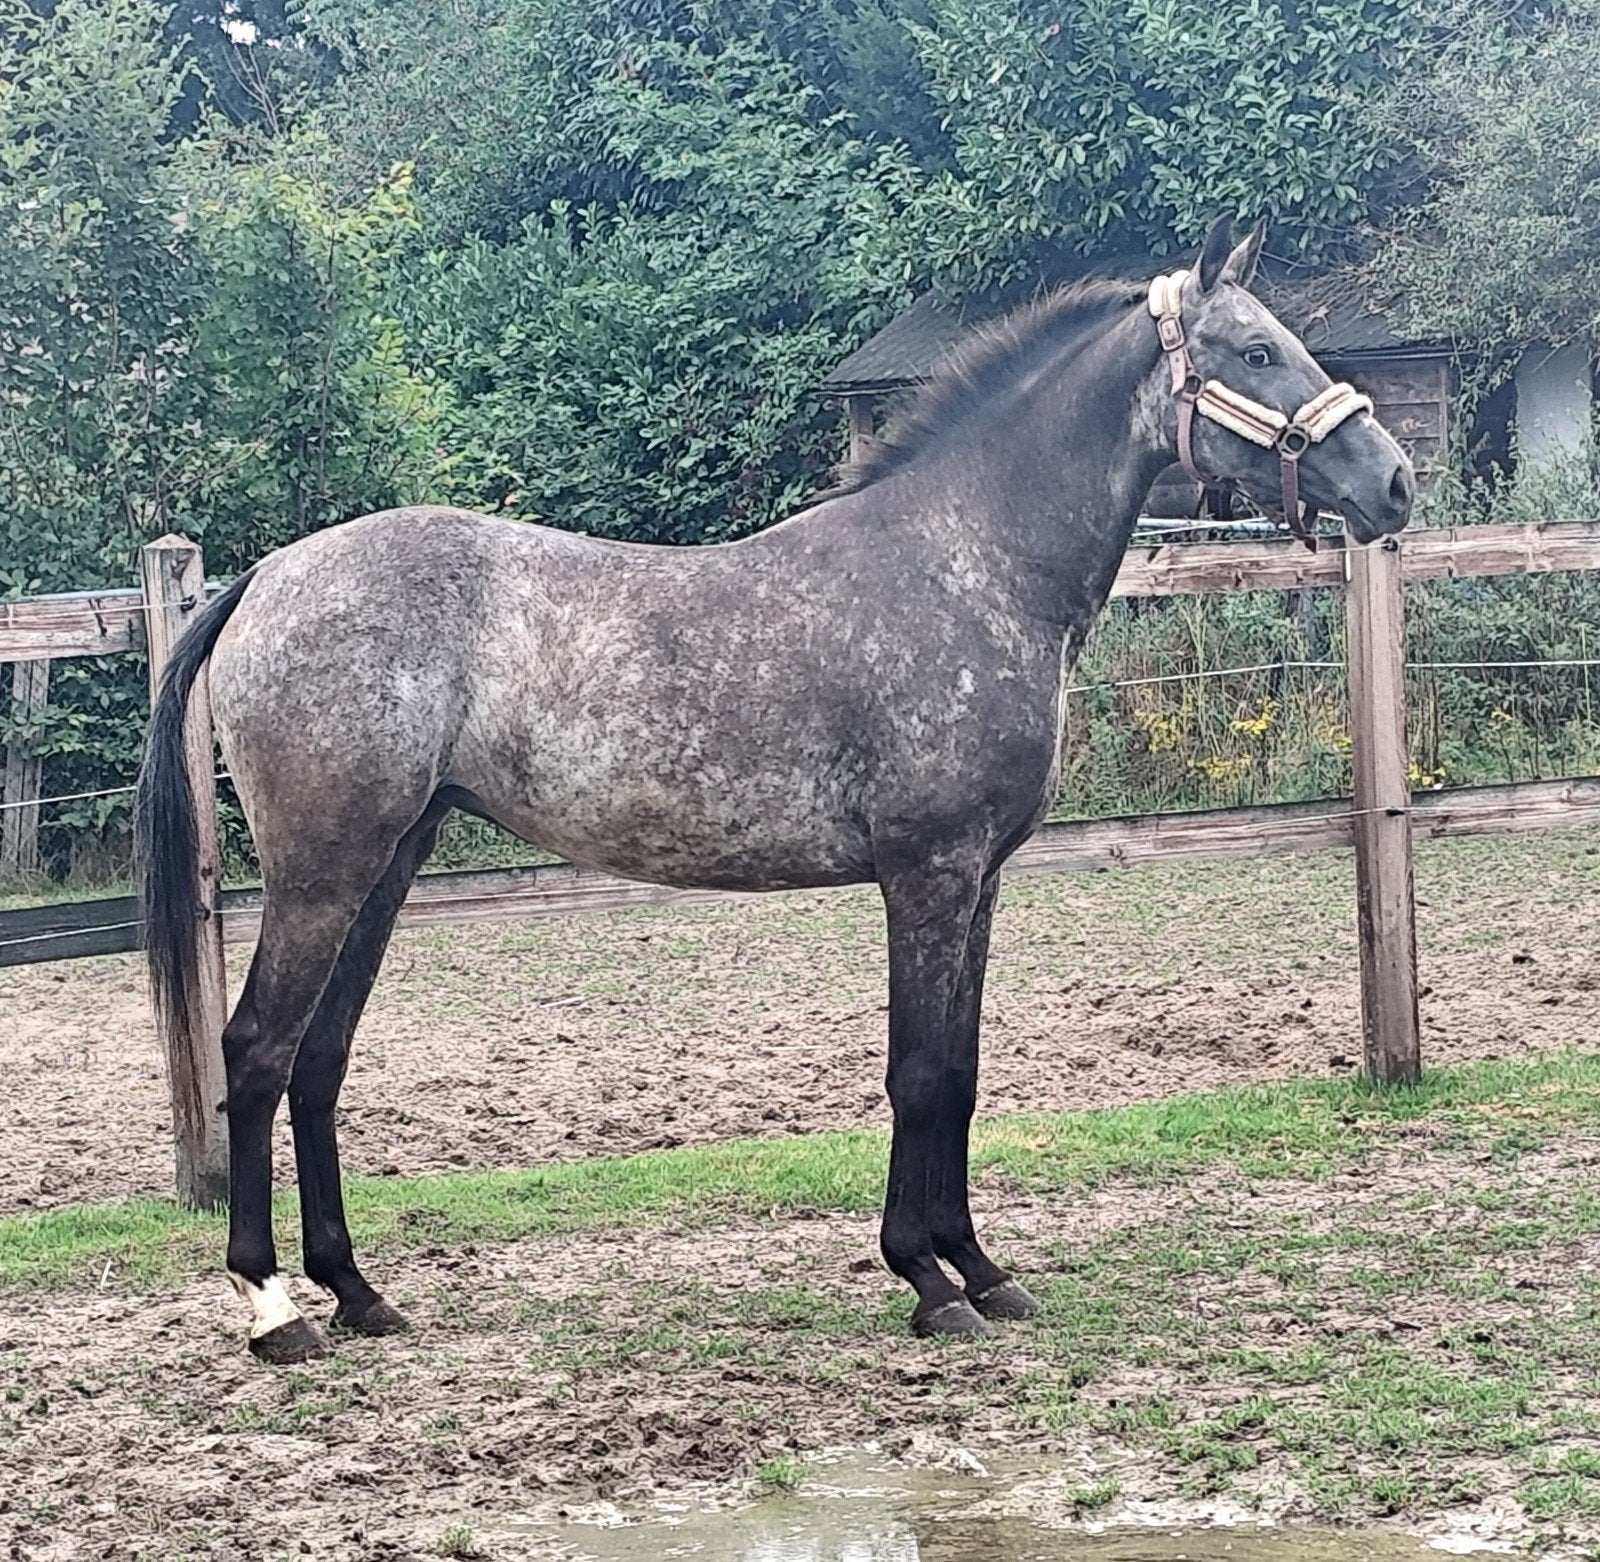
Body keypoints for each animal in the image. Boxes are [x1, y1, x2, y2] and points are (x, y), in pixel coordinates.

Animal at [137, 219, 1413, 1364]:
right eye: (1252, 351)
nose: (1393, 481)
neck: (966, 563)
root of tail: (266, 576)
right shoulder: (927, 873)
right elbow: (920, 1070)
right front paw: (926, 1279)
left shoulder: (978, 880)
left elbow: (961, 1070)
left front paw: (981, 1267)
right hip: (323, 873)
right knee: (258, 1049)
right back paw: (274, 1307)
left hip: (387, 866)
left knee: (320, 1060)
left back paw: (359, 1292)